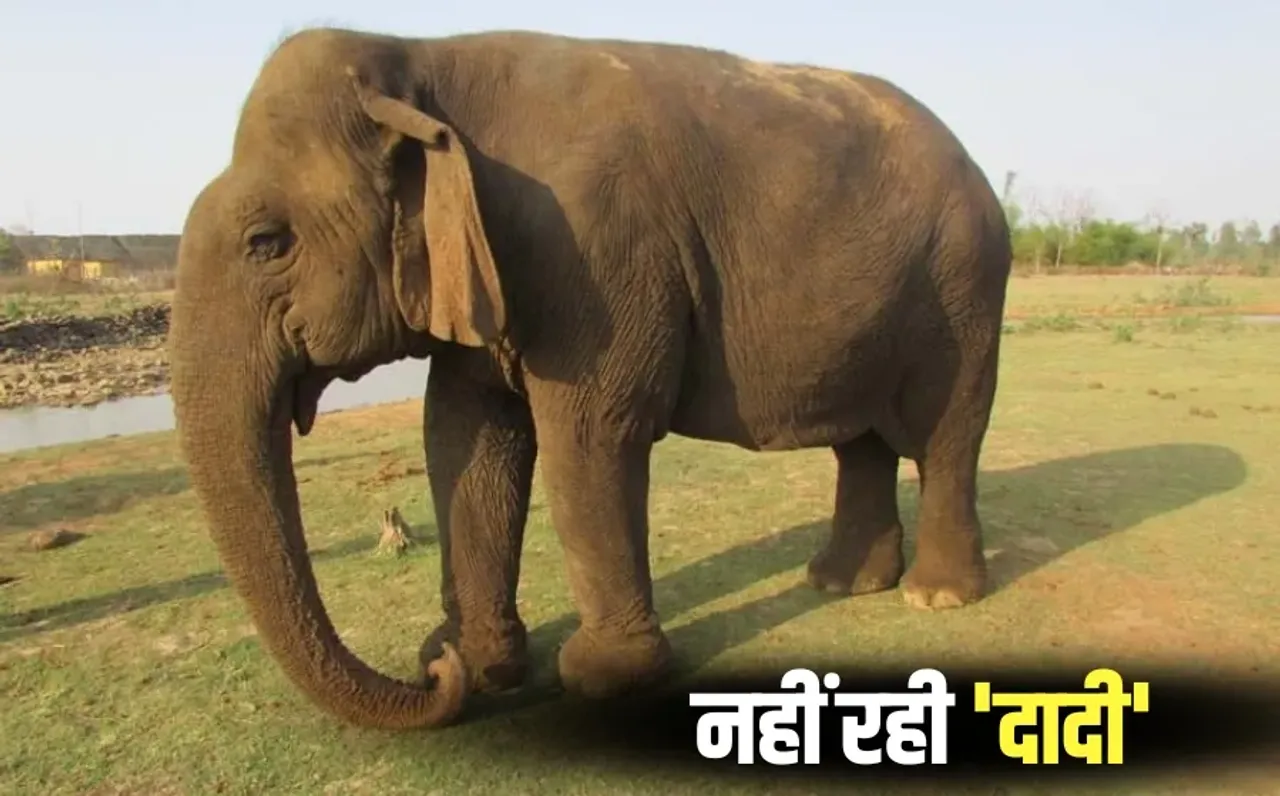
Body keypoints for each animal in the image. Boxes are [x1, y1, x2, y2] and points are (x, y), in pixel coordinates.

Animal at [167, 26, 1012, 731]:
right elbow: (465, 435)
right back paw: (841, 585)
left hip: (965, 284)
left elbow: (588, 433)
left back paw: (935, 596)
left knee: (948, 434)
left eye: (266, 243)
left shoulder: (595, 251)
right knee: (862, 441)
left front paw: (600, 678)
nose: (432, 668)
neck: (422, 58)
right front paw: (482, 663)